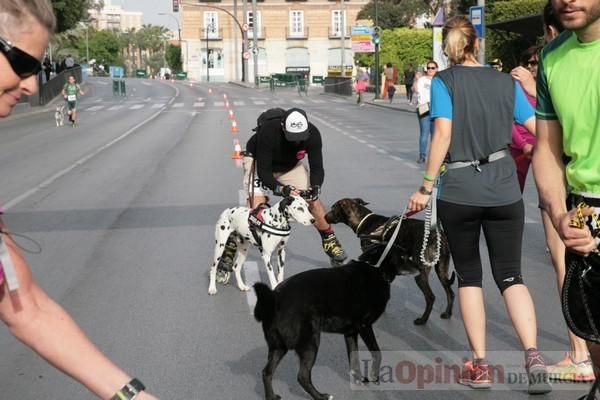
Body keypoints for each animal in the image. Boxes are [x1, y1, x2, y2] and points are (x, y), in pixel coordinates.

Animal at [252, 244, 412, 400]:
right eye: (403, 256)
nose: (417, 265)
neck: (375, 268)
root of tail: (274, 298)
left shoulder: (351, 333)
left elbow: (354, 359)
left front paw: (359, 379)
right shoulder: (365, 326)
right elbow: (377, 353)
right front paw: (375, 376)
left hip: (279, 347)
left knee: (266, 372)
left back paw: (271, 396)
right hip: (310, 343)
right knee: (302, 376)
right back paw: (321, 396)